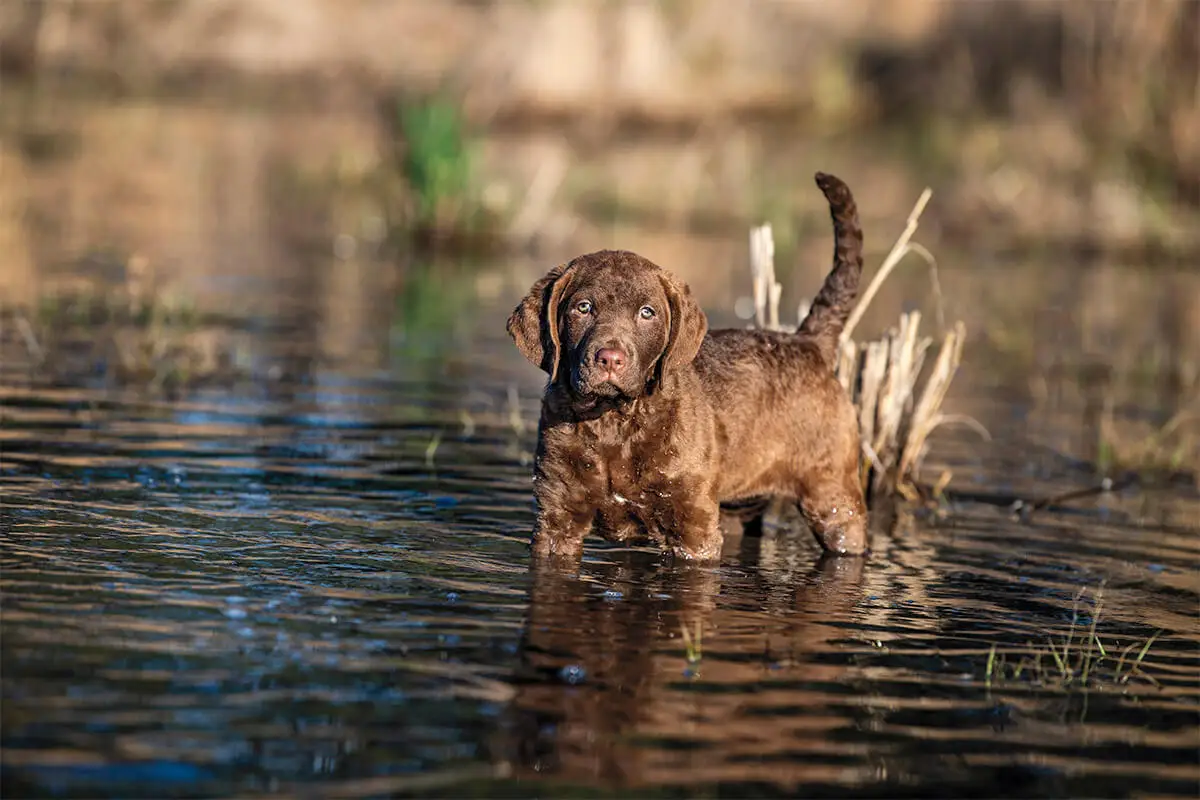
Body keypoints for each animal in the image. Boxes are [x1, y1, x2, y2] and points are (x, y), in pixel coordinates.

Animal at [504, 172, 864, 561]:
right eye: (583, 308)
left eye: (647, 313)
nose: (610, 358)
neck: (614, 421)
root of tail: (808, 342)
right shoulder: (557, 518)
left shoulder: (693, 525)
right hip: (738, 506)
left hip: (832, 492)